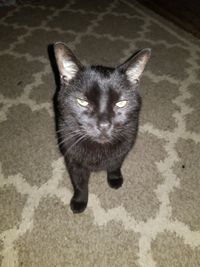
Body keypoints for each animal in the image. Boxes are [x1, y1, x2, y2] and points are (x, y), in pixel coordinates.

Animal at [53, 42, 150, 214]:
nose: (104, 125)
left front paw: (115, 178)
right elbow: (80, 184)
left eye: (121, 103)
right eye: (83, 102)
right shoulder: (73, 160)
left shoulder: (124, 147)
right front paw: (79, 201)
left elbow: (115, 164)